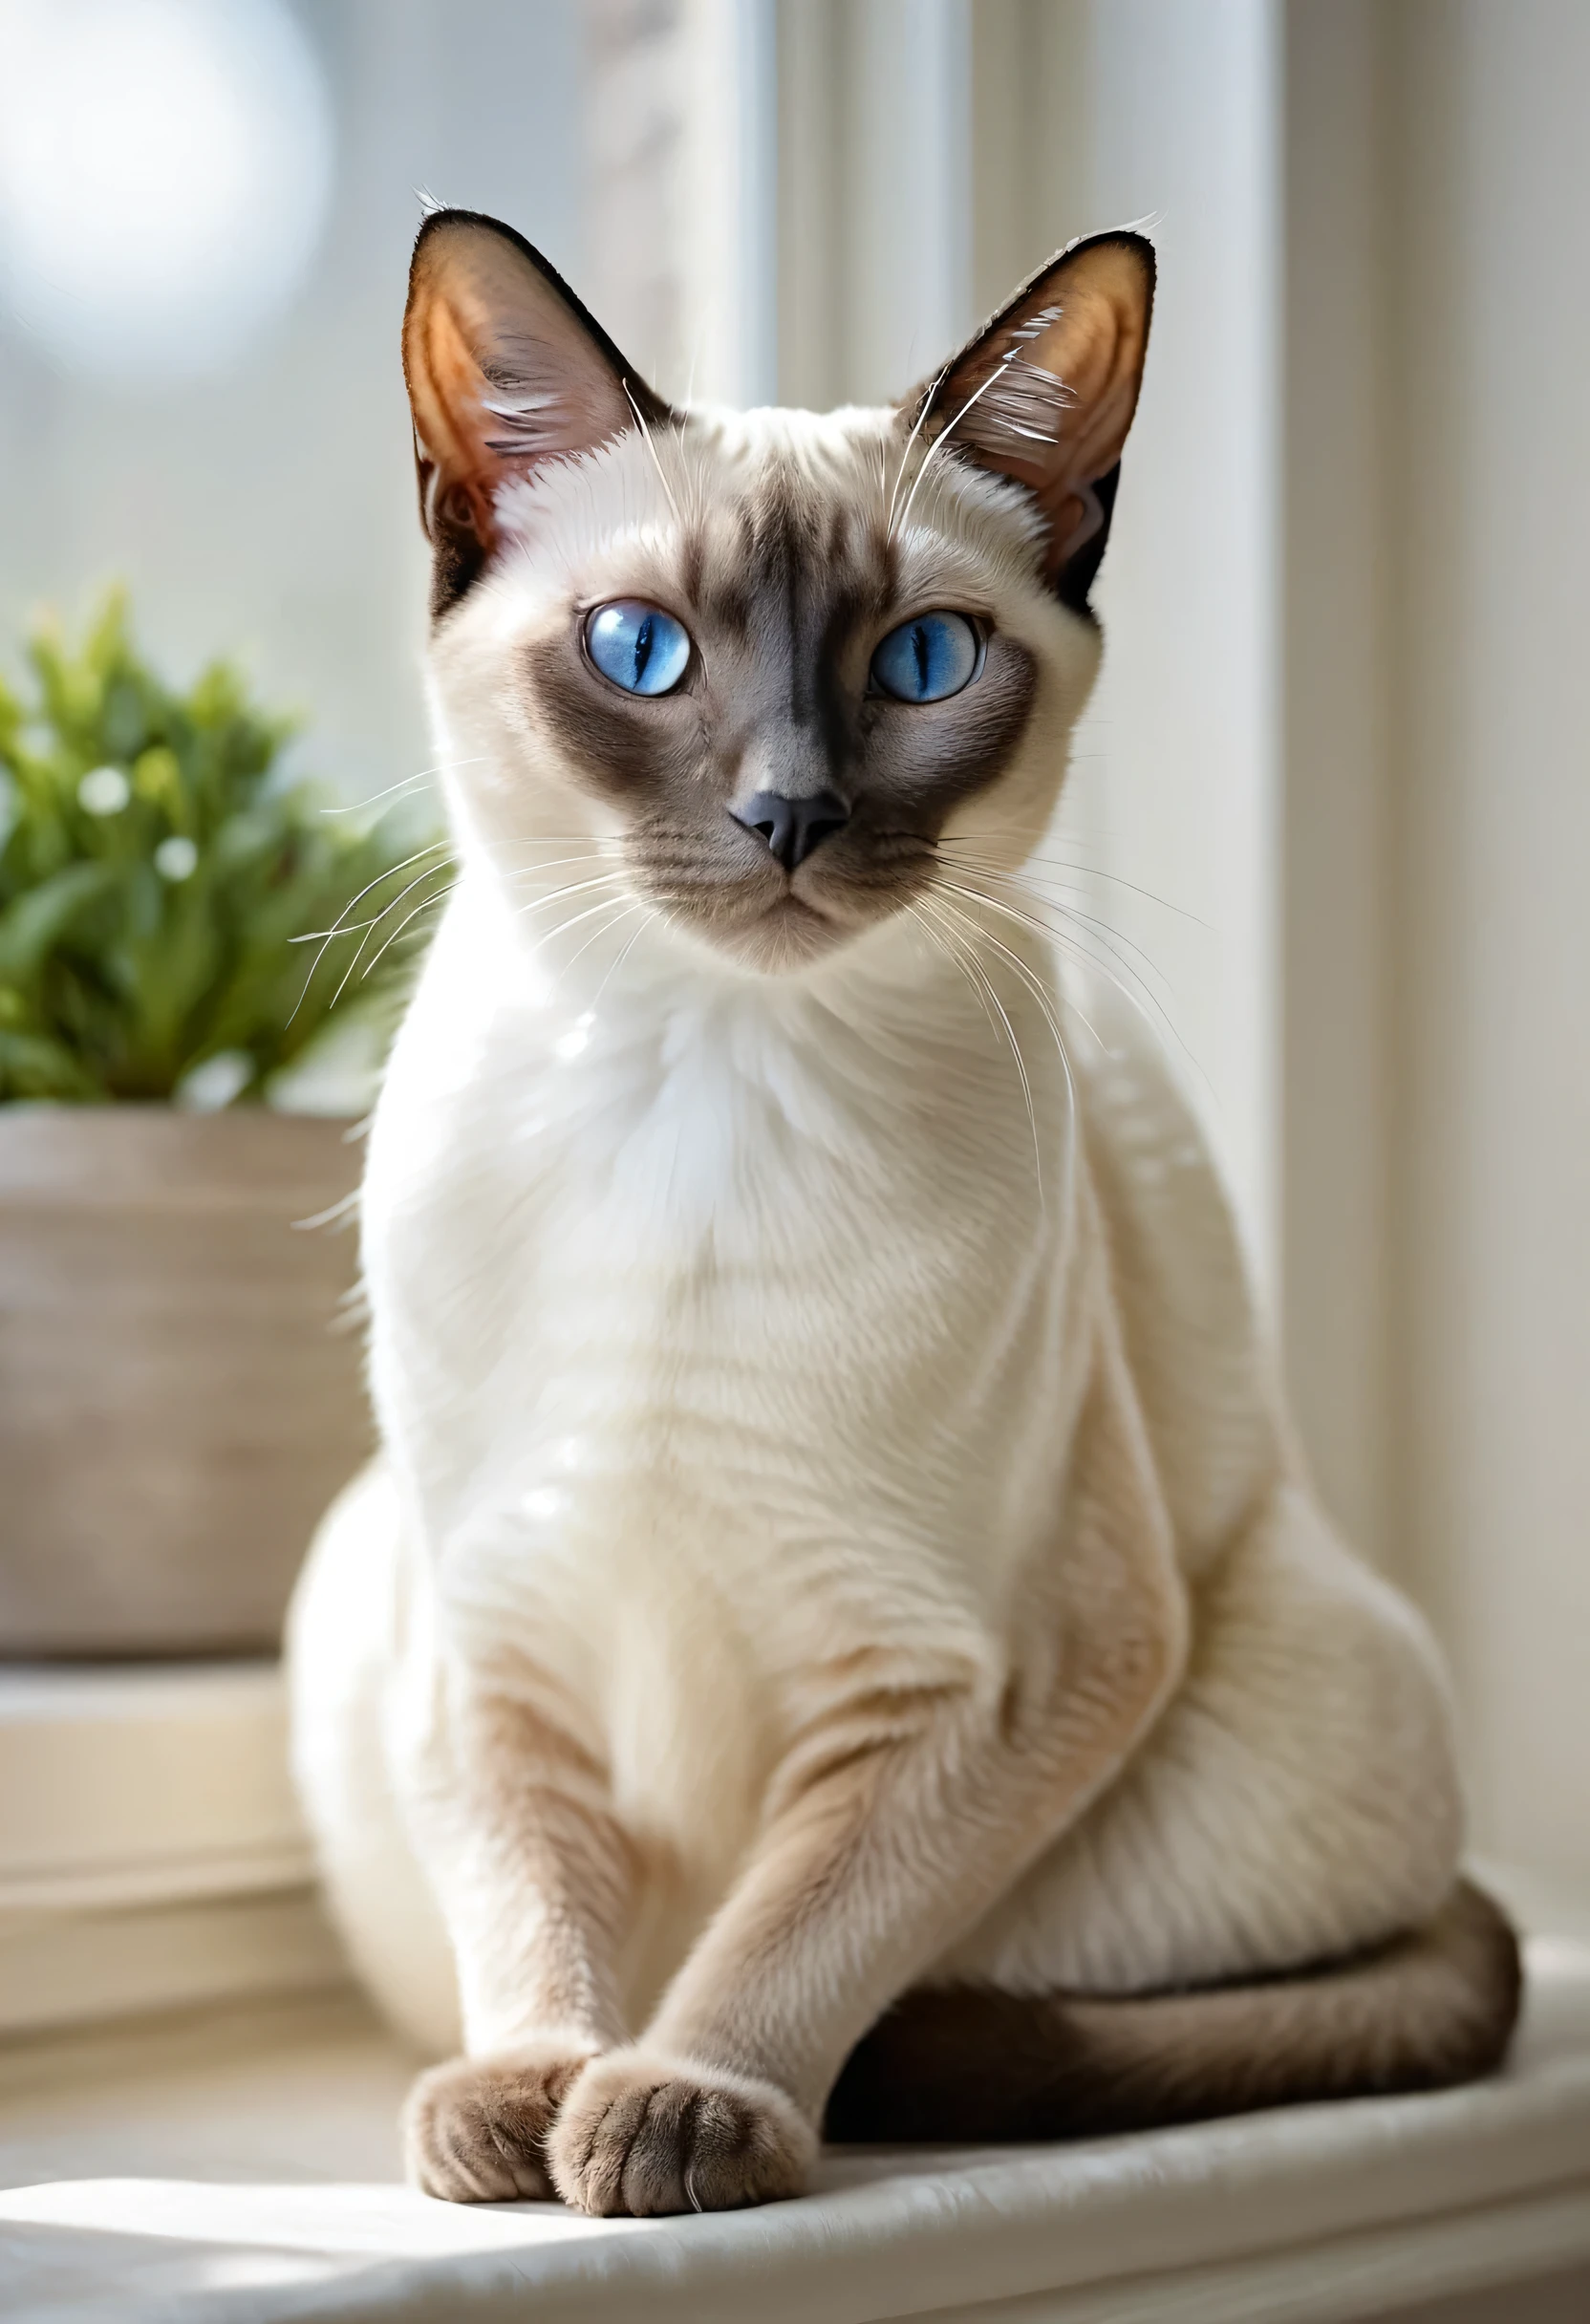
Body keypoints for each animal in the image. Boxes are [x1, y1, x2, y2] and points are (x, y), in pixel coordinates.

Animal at [291, 213, 1524, 2212]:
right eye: (639, 650)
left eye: (925, 659)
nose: (787, 811)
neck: (705, 1081)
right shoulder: (489, 1649)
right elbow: (530, 1902)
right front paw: (528, 2095)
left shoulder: (986, 1683)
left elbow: (797, 1933)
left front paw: (676, 2101)